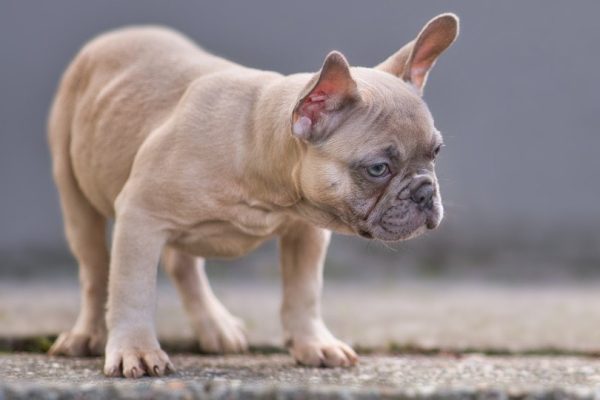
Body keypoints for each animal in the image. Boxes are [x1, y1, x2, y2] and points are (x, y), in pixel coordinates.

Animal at [48, 13, 460, 378]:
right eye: (378, 169)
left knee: (182, 264)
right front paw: (136, 349)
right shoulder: (140, 216)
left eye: (436, 152)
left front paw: (314, 343)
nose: (425, 192)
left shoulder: (306, 233)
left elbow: (304, 291)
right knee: (95, 270)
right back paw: (86, 336)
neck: (258, 145)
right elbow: (132, 289)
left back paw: (215, 326)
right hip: (75, 193)